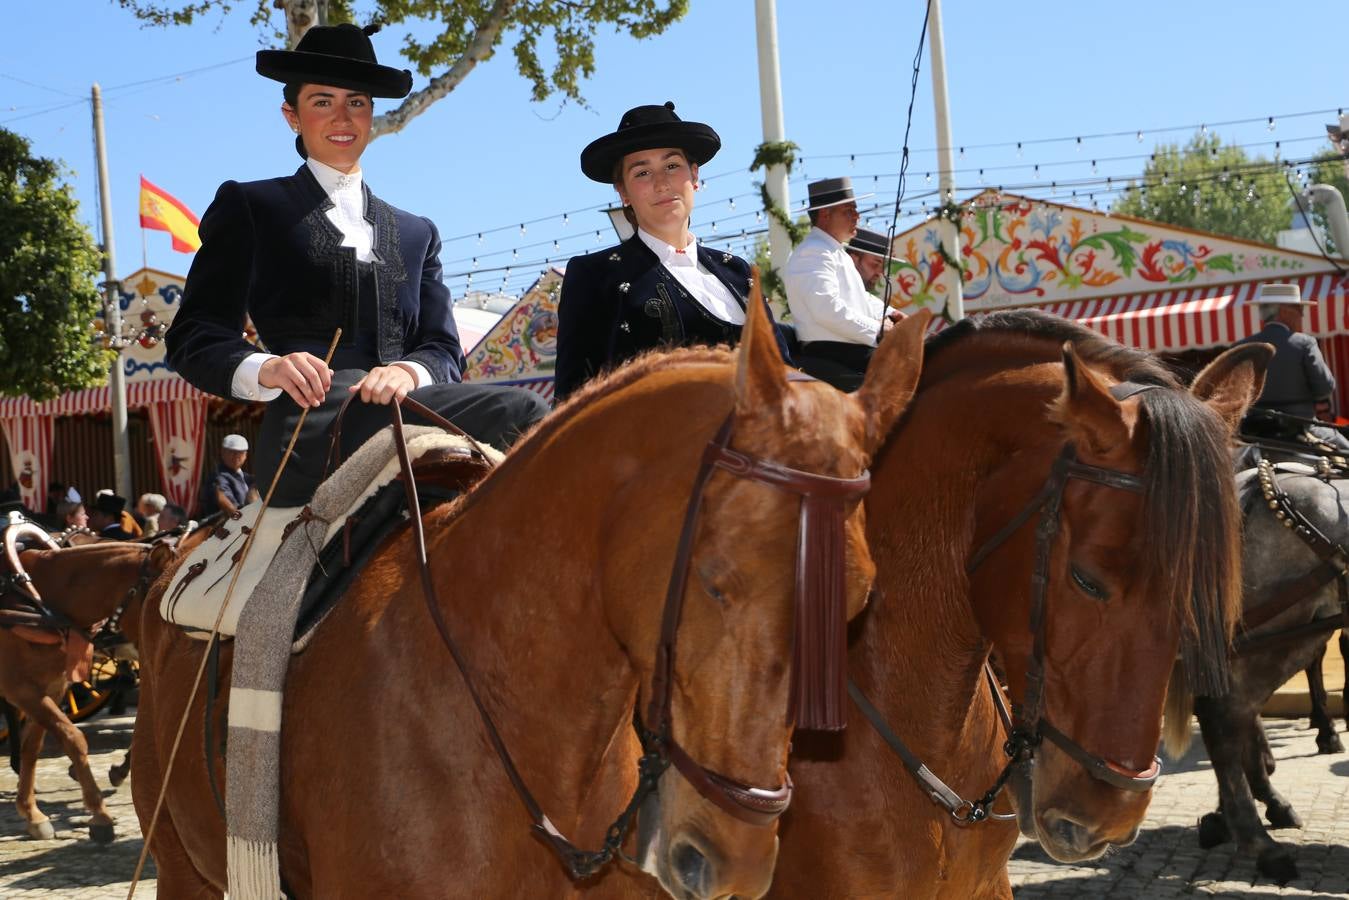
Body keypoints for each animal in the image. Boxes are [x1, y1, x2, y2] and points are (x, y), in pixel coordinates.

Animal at [0, 528, 174, 847]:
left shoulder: (52, 686)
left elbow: (34, 746)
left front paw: (32, 813)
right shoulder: (22, 689)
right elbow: (73, 738)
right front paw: (100, 814)